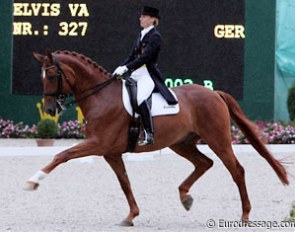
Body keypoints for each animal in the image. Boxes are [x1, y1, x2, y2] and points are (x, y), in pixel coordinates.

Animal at [25, 50, 290, 227]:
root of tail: (214, 93)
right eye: (41, 77)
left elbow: (62, 154)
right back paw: (185, 197)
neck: (101, 97)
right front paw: (131, 216)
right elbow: (125, 183)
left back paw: (245, 215)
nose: (50, 109)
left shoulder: (98, 144)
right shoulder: (111, 152)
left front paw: (34, 181)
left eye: (52, 76)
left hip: (218, 139)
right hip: (181, 143)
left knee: (236, 170)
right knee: (205, 163)